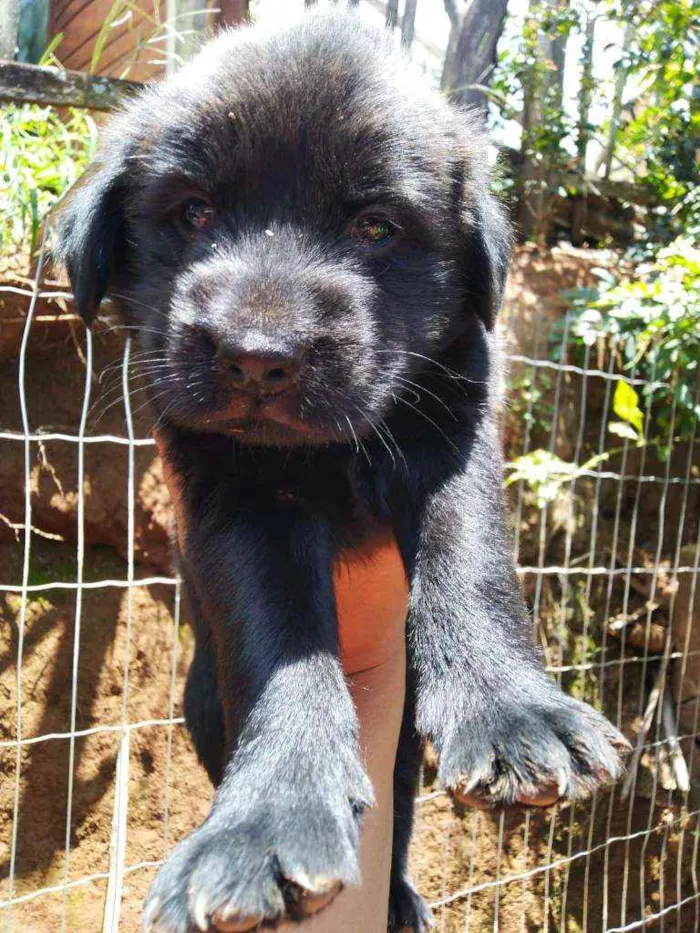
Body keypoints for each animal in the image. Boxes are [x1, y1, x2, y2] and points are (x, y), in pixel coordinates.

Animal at [57, 10, 628, 928]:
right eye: (192, 212)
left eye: (376, 228)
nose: (259, 357)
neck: (325, 454)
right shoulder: (233, 491)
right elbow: (278, 639)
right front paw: (266, 818)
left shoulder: (454, 425)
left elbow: (470, 556)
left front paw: (514, 709)